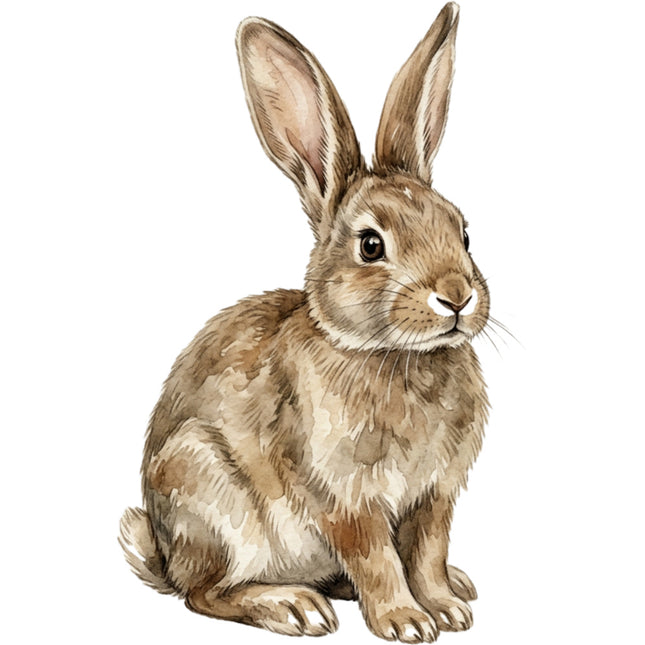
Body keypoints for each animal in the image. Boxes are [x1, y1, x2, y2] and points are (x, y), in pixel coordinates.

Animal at [120, 2, 490, 642]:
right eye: (371, 245)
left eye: (463, 233)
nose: (457, 296)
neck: (393, 355)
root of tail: (164, 557)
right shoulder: (345, 498)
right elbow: (377, 559)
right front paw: (406, 622)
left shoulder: (435, 496)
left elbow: (427, 553)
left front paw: (446, 608)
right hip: (210, 495)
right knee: (204, 594)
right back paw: (292, 606)